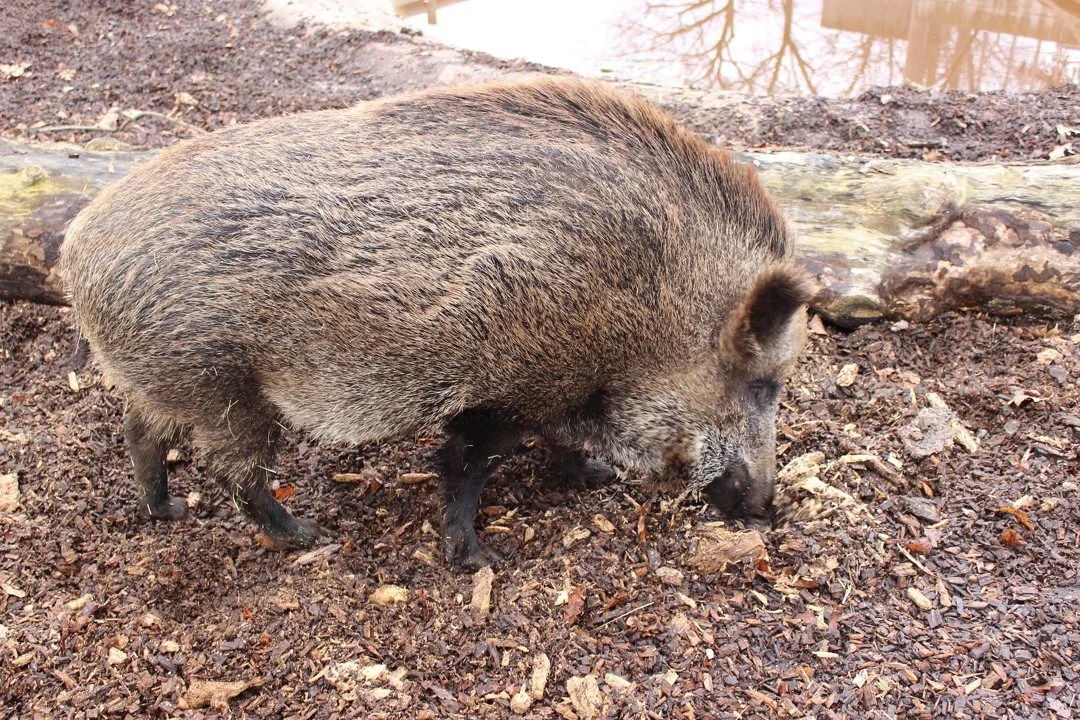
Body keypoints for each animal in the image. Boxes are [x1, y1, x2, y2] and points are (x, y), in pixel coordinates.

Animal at [60, 77, 815, 570]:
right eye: (763, 385)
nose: (766, 508)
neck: (645, 305)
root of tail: (79, 250)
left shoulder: (558, 390)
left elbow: (560, 442)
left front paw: (594, 474)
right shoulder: (511, 386)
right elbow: (465, 463)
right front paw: (475, 560)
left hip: (168, 383)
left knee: (140, 433)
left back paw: (166, 512)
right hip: (224, 386)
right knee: (233, 472)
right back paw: (307, 534)